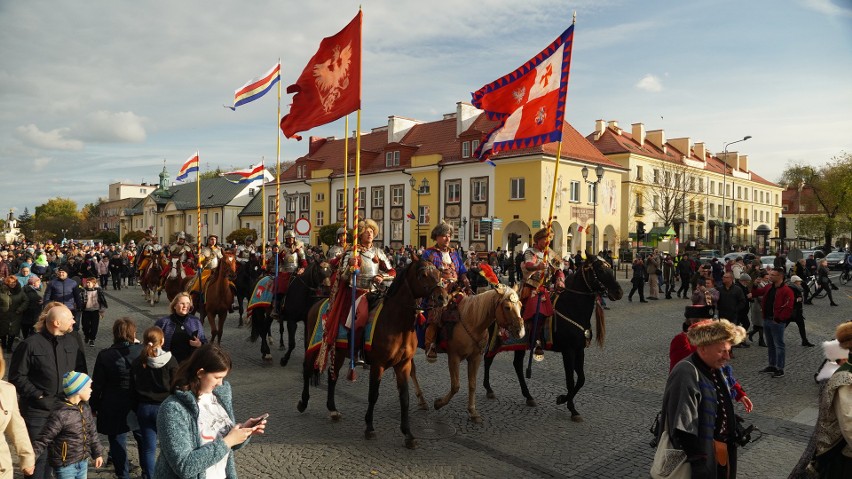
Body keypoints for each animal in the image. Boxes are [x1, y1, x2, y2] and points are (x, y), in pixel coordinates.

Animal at [296, 258, 442, 450]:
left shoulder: (403, 364)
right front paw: (369, 427)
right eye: (423, 275)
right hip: (314, 345)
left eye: (438, 273)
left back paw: (333, 409)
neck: (397, 322)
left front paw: (408, 434)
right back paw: (303, 403)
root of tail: (317, 304)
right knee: (306, 370)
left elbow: (404, 398)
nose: (443, 297)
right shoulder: (378, 365)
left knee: (332, 376)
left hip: (340, 352)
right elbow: (373, 395)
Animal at [436, 284, 524, 424]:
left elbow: (472, 384)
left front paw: (472, 412)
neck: (471, 322)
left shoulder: (475, 358)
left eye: (521, 305)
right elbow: (455, 386)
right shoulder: (454, 357)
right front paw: (439, 403)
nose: (521, 332)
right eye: (507, 307)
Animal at [482, 255, 624, 420]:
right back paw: (489, 389)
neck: (572, 307)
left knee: (517, 365)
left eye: (610, 267)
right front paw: (571, 408)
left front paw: (563, 399)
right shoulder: (568, 351)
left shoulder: (579, 349)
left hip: (521, 343)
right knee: (488, 358)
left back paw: (528, 396)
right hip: (496, 339)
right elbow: (570, 380)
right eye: (600, 269)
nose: (619, 292)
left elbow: (581, 379)